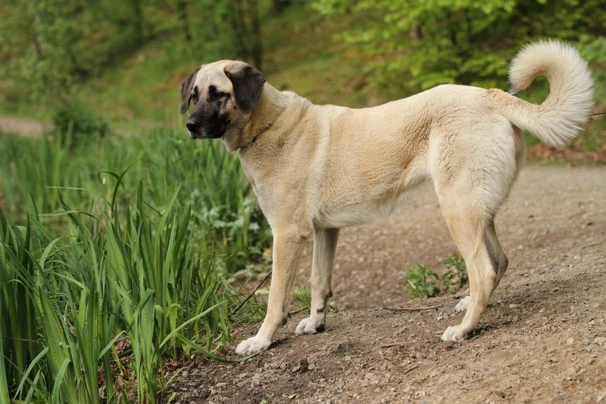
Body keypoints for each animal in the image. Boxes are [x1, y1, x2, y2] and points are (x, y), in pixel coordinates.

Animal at [179, 40, 592, 356]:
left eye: (219, 94)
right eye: (194, 95)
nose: (190, 126)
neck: (267, 124)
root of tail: (491, 96)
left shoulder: (287, 235)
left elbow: (275, 298)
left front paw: (261, 340)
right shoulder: (325, 231)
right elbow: (319, 282)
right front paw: (315, 322)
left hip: (458, 209)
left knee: (484, 269)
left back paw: (464, 328)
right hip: (476, 208)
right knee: (499, 262)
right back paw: (468, 304)